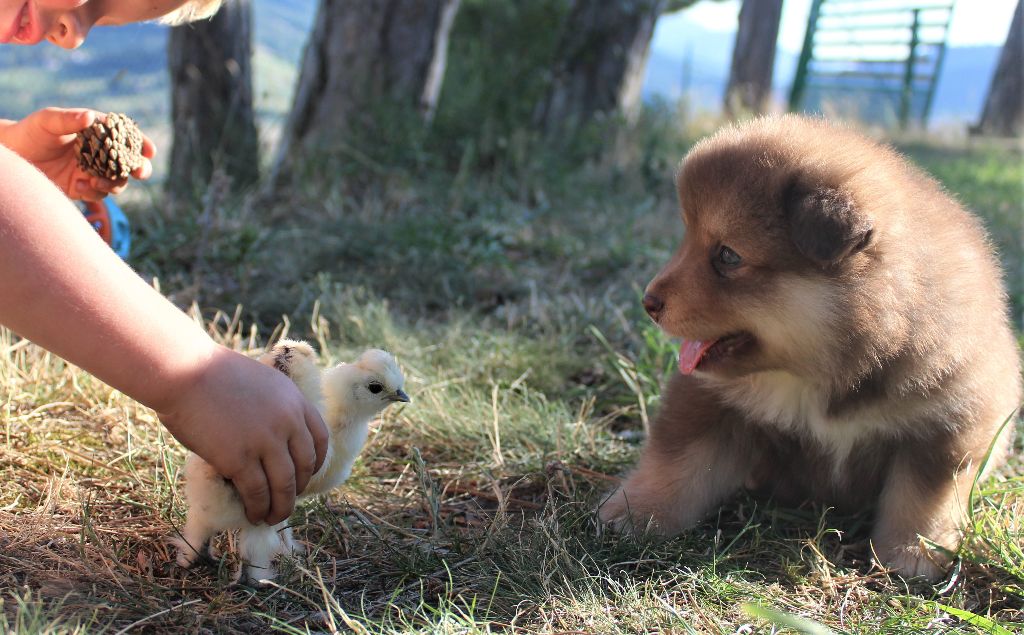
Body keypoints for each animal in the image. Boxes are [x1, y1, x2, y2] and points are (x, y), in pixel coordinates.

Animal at [598, 114, 1024, 581]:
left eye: (728, 256)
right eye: (685, 238)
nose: (649, 301)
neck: (822, 372)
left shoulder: (948, 421)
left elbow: (925, 497)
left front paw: (914, 555)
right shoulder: (710, 401)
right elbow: (678, 461)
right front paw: (636, 512)